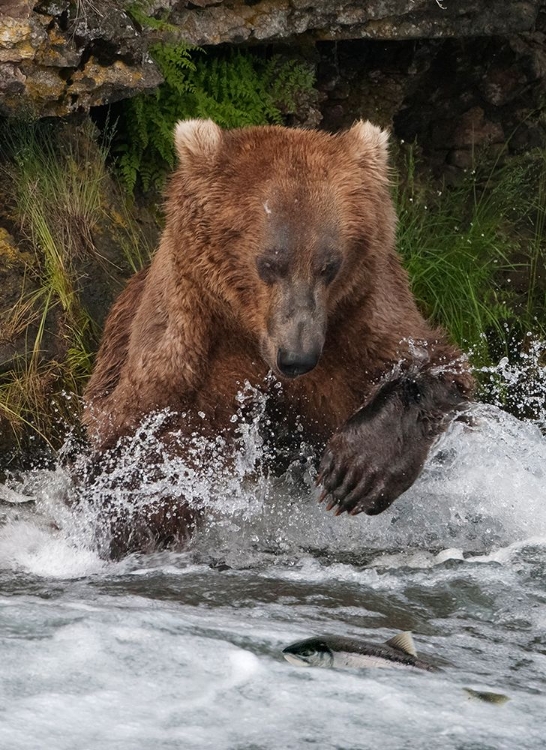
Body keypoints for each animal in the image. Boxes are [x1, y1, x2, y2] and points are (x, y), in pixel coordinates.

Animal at [84, 120, 472, 560]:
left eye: (329, 265)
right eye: (269, 263)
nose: (297, 357)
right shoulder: (185, 350)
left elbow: (434, 367)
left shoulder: (361, 322)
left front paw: (353, 472)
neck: (250, 333)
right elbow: (142, 443)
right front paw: (147, 510)